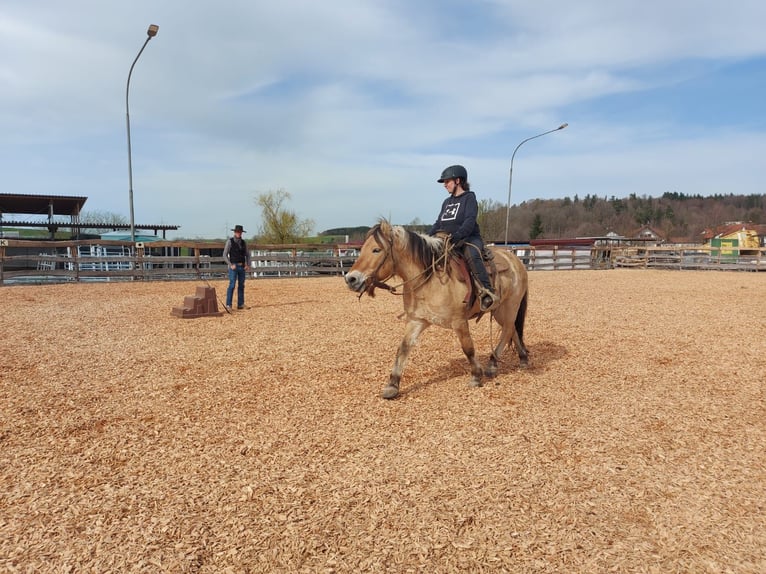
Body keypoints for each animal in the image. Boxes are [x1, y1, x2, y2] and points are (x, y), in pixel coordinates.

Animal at [346, 220, 532, 400]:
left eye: (376, 249)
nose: (350, 279)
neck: (430, 280)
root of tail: (515, 261)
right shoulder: (417, 320)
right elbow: (403, 348)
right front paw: (392, 385)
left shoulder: (459, 322)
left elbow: (468, 348)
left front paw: (476, 376)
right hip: (501, 310)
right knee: (512, 330)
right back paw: (522, 359)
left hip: (508, 306)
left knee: (507, 330)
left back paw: (492, 365)